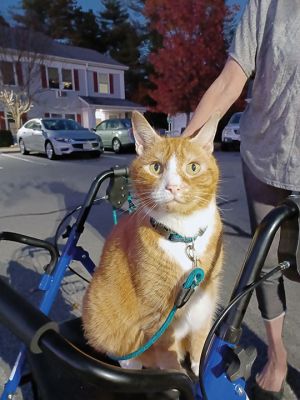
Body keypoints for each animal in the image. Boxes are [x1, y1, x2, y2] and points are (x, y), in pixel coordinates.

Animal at [82, 110, 223, 376]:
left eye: (193, 167)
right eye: (156, 167)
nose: (173, 187)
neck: (183, 236)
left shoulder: (205, 300)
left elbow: (200, 340)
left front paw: (199, 371)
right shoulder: (157, 314)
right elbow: (167, 352)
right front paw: (178, 375)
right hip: (97, 312)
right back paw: (133, 362)